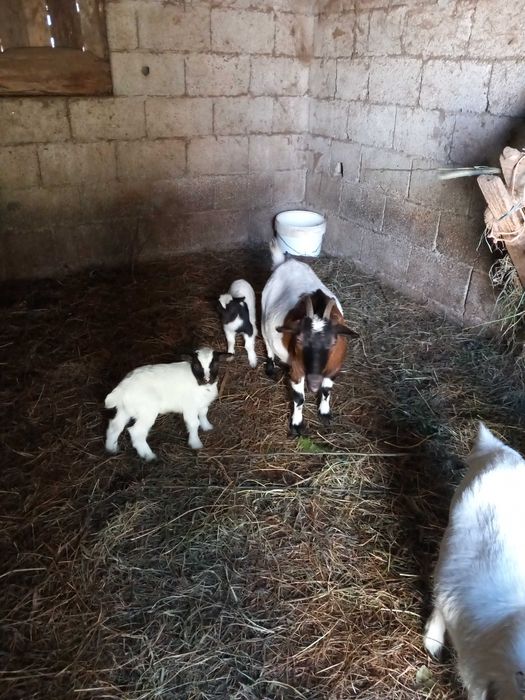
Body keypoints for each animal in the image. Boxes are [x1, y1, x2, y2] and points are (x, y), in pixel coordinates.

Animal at [261, 239, 358, 434]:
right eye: (298, 340)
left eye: (334, 342)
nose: (313, 383)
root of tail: (287, 262)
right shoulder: (297, 369)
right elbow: (299, 397)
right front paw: (297, 425)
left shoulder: (334, 367)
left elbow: (327, 391)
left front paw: (325, 413)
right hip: (262, 311)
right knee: (266, 339)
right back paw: (271, 367)